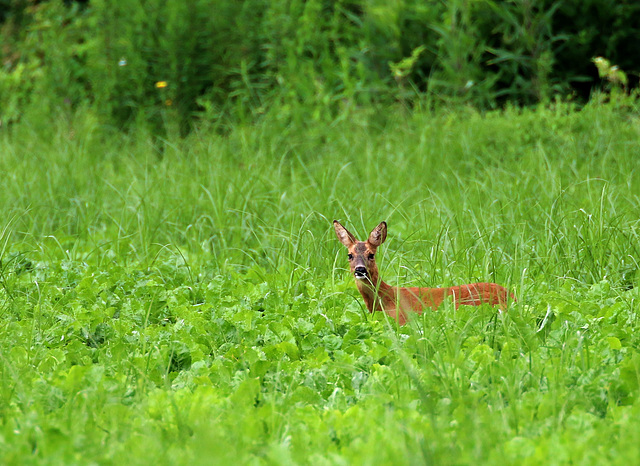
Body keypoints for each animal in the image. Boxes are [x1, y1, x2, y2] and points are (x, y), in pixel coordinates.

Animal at [332, 221, 512, 324]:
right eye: (350, 255)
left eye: (371, 254)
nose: (360, 269)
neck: (384, 299)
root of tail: (512, 296)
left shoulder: (401, 319)